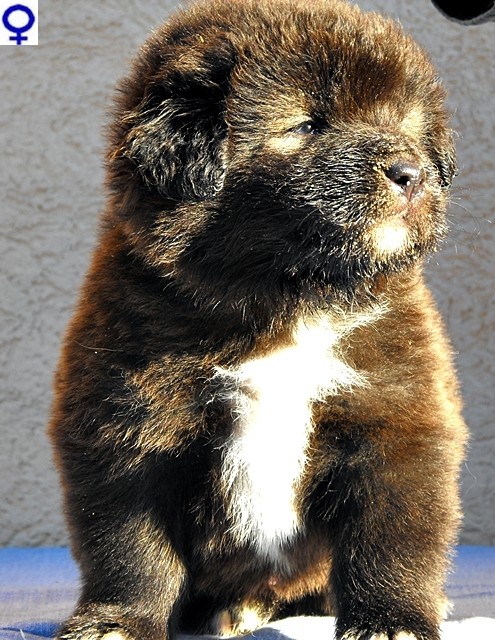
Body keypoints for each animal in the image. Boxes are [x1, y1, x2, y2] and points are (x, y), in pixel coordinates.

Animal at [49, 1, 467, 639]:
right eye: (308, 126)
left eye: (405, 126)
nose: (410, 171)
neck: (284, 302)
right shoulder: (124, 428)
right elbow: (131, 549)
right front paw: (118, 621)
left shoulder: (397, 419)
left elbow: (391, 537)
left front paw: (392, 621)